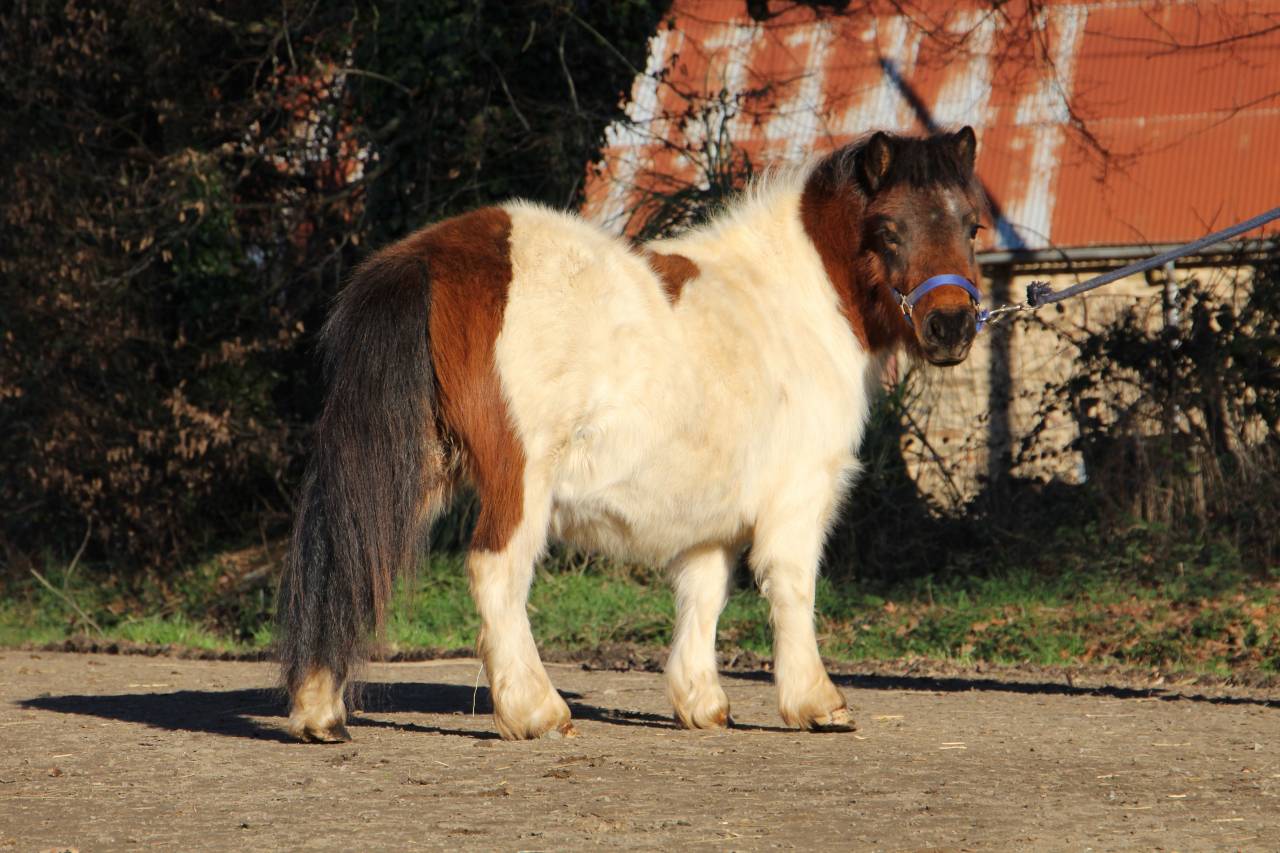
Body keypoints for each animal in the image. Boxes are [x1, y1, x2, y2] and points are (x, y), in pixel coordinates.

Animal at [276, 126, 988, 743]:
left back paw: (319, 711)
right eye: (888, 229)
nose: (951, 326)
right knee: (495, 570)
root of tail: (430, 255)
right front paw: (816, 702)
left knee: (357, 558)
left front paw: (702, 703)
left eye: (972, 225)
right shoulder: (800, 492)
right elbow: (792, 585)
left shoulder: (711, 511)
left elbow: (704, 593)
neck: (792, 299)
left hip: (416, 467)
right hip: (520, 479)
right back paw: (535, 710)